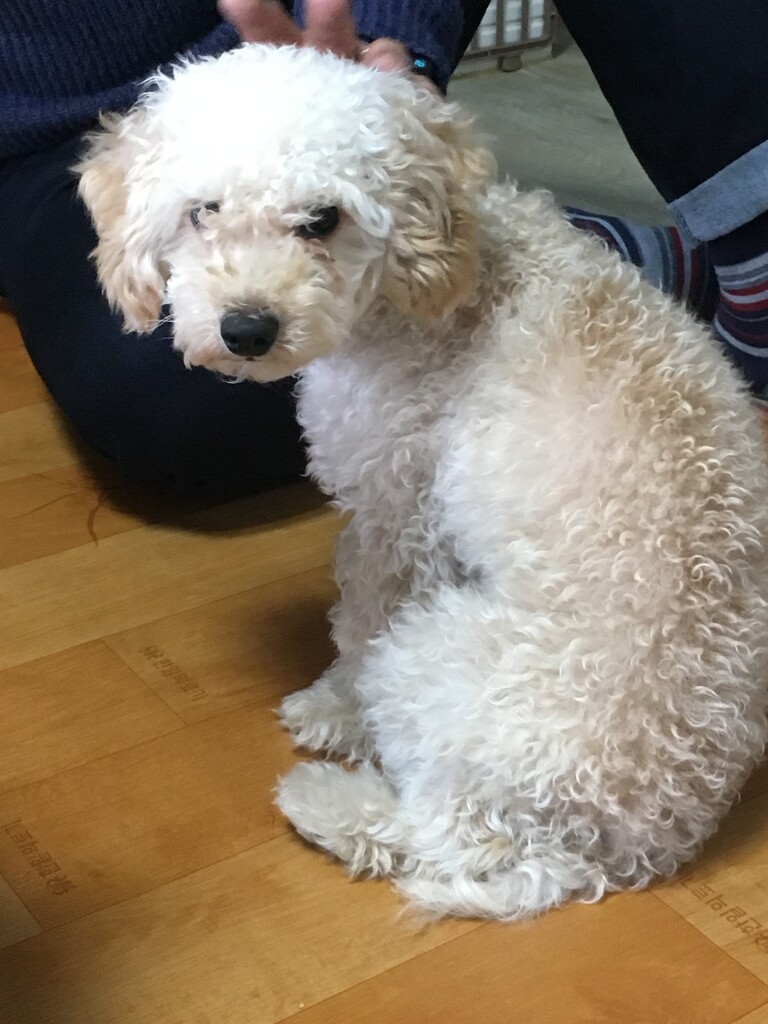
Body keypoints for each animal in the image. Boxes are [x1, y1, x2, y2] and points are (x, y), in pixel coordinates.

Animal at [78, 43, 768, 921]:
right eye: (204, 210)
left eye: (323, 220)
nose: (247, 328)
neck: (415, 294)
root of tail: (622, 848)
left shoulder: (397, 518)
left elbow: (358, 629)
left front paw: (334, 708)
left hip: (434, 662)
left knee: (441, 834)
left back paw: (328, 803)